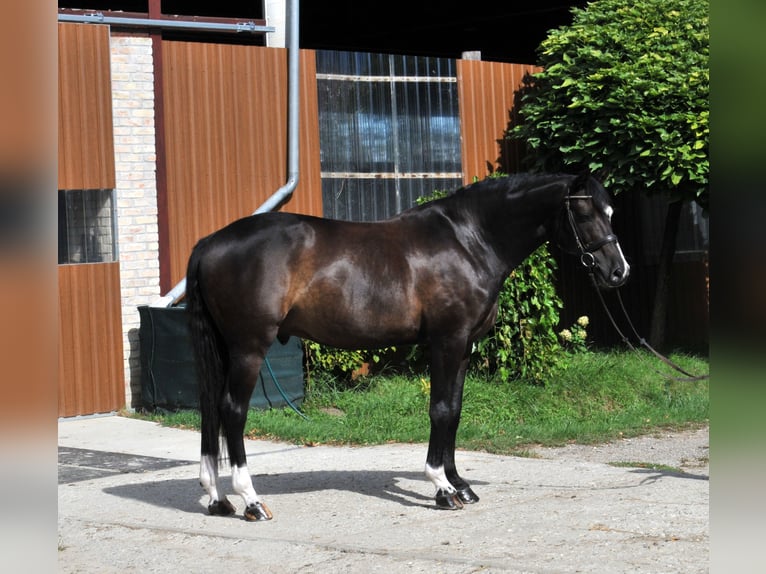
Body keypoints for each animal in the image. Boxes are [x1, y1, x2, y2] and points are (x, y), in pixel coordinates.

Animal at [185, 172, 630, 521]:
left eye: (611, 213)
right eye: (585, 214)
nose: (619, 272)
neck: (469, 240)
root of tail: (209, 242)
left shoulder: (462, 347)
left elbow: (455, 412)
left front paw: (459, 484)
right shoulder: (446, 341)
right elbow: (440, 410)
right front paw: (442, 489)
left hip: (225, 348)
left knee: (211, 410)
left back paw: (217, 499)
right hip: (248, 348)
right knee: (233, 412)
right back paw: (250, 500)